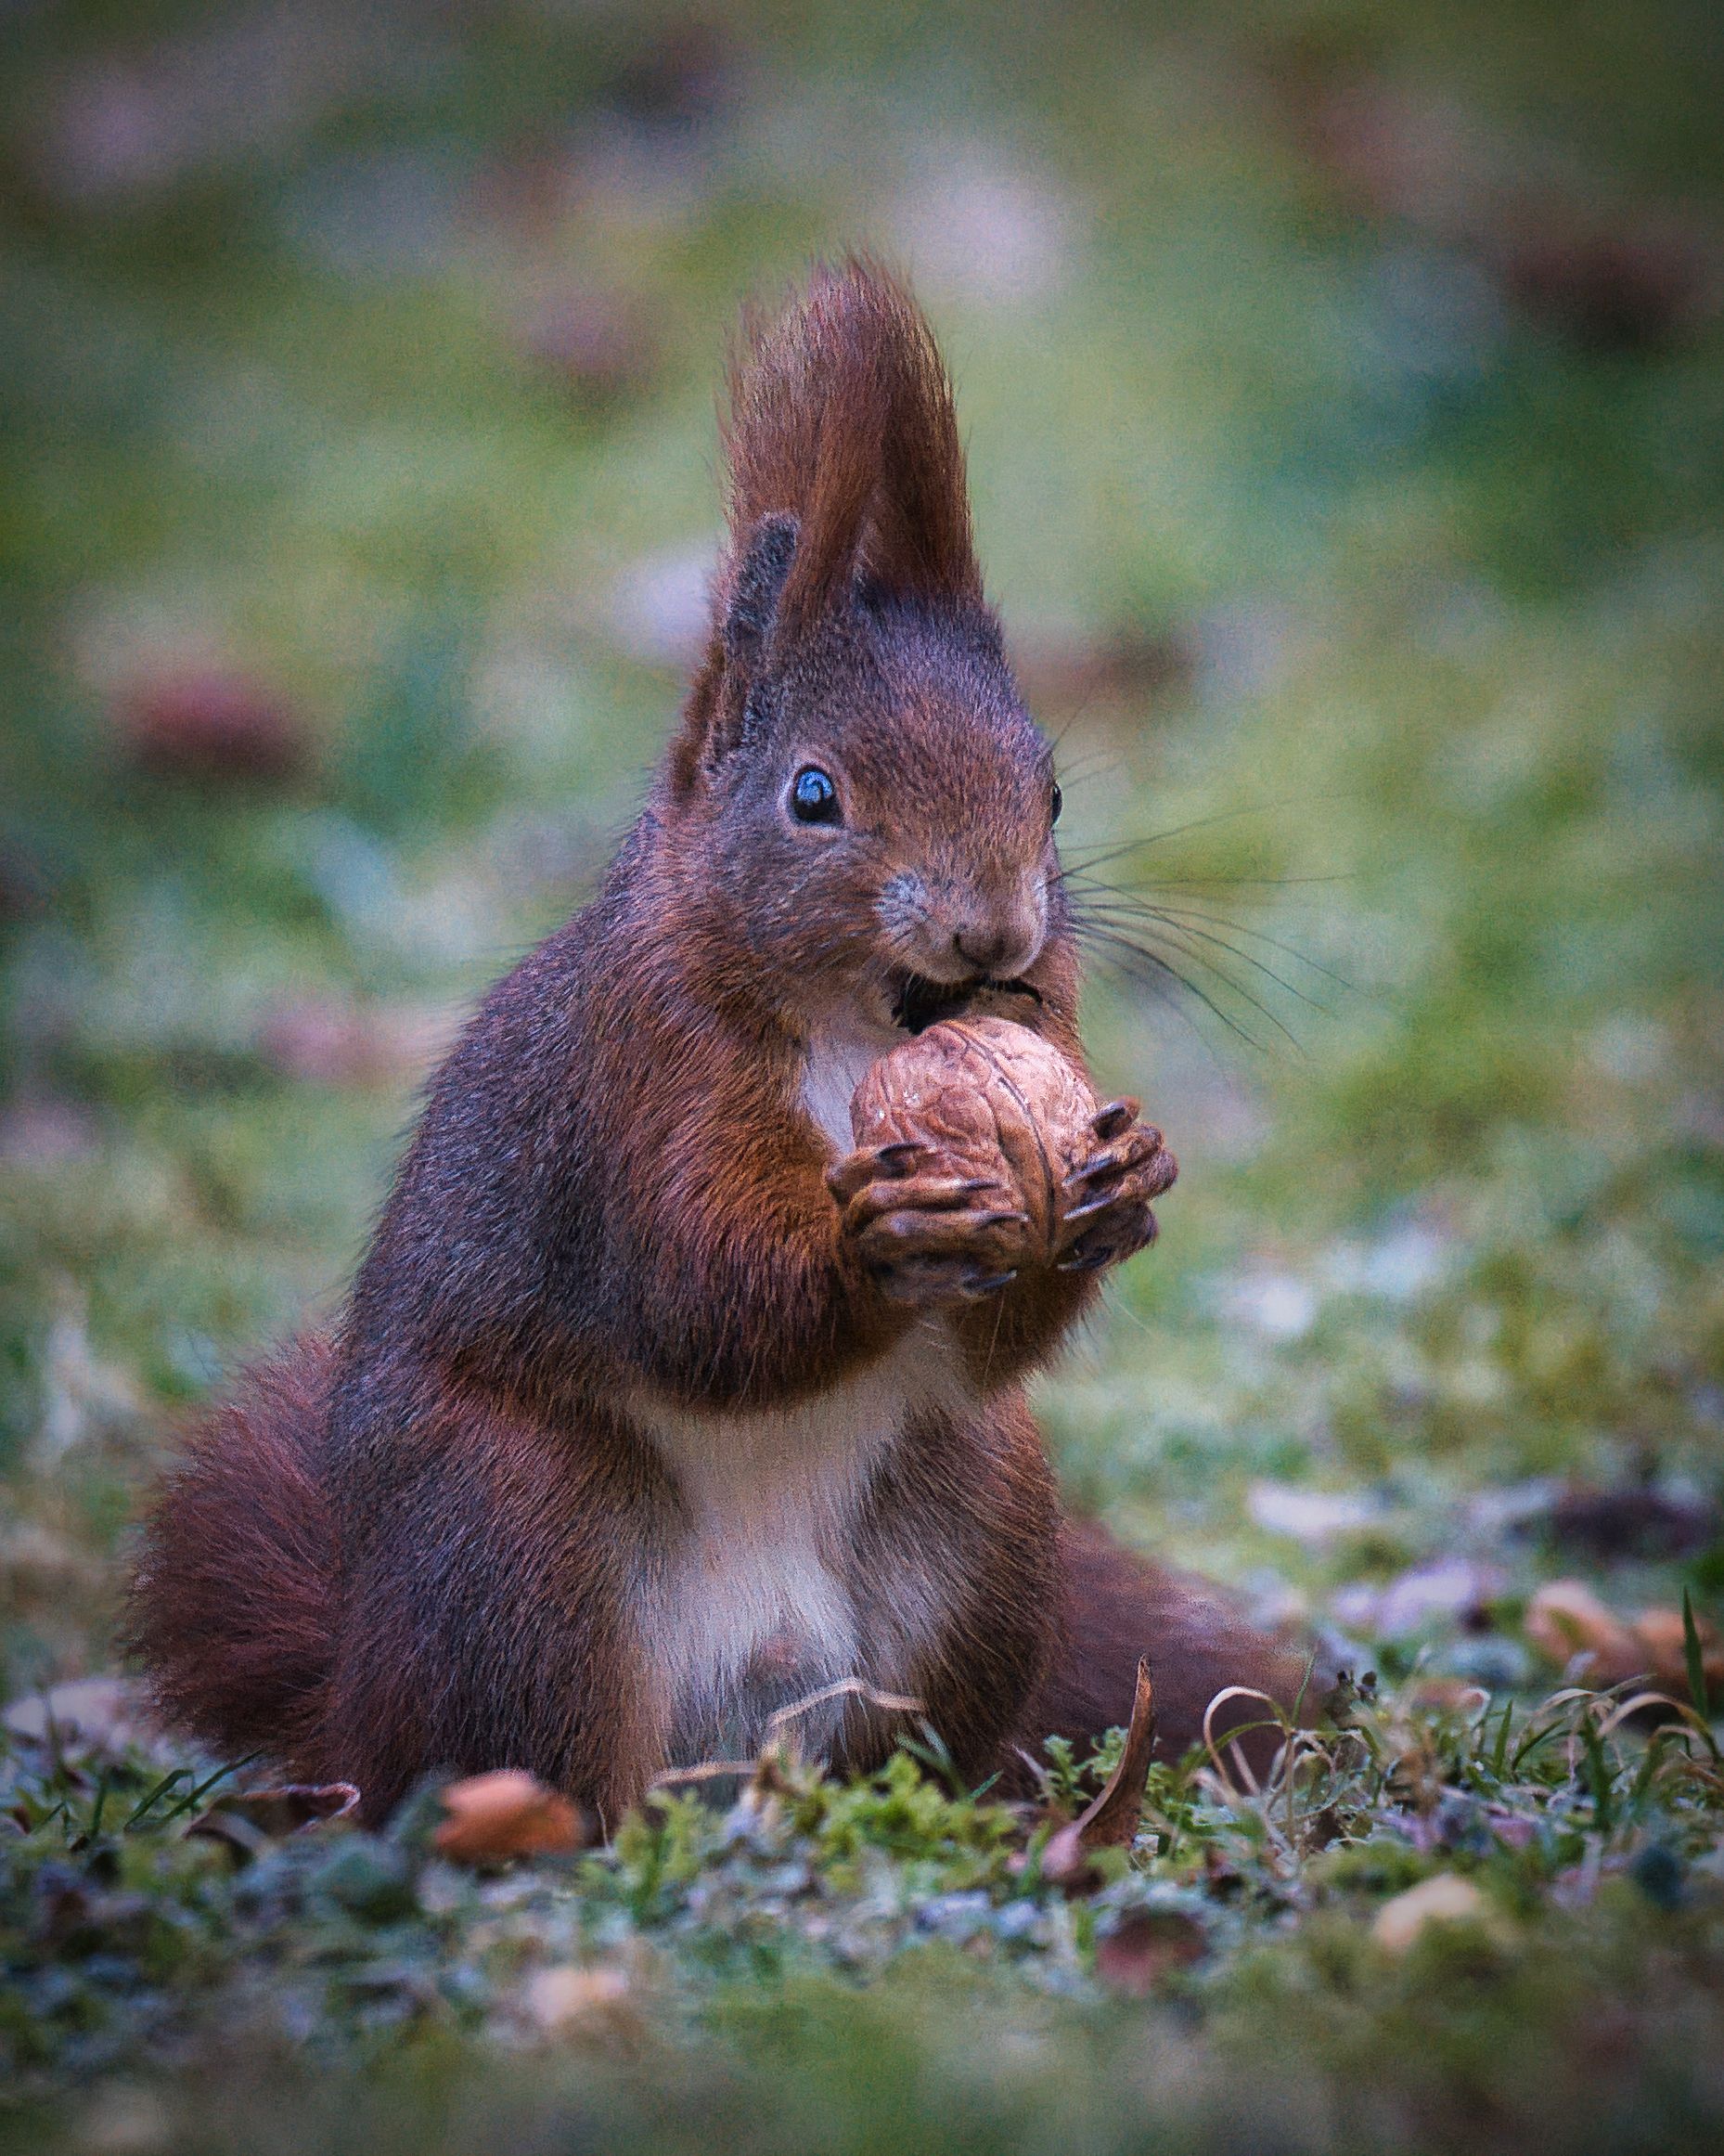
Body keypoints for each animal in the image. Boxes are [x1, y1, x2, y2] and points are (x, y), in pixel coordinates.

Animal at [129, 260, 1311, 1826]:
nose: (997, 931)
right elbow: (695, 1293)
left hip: (980, 1514)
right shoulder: (635, 1087)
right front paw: (876, 1237)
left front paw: (1126, 1172)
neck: (853, 1032)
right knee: (526, 1740)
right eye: (812, 794)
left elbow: (998, 1331)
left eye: (1049, 791)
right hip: (509, 1536)